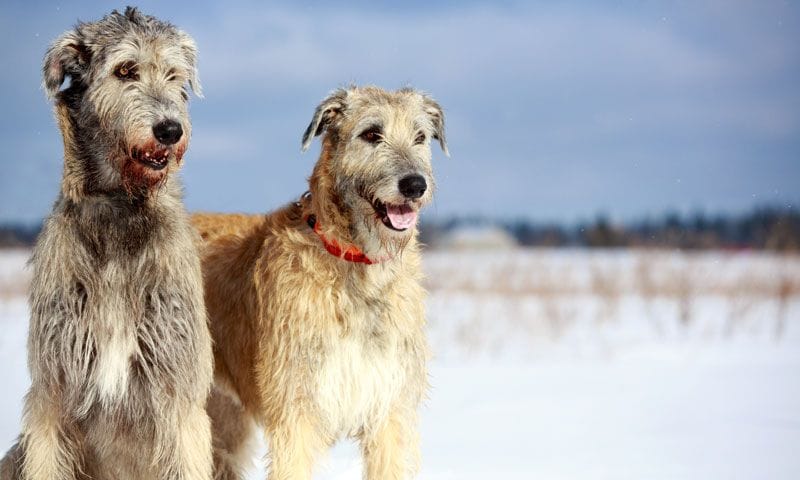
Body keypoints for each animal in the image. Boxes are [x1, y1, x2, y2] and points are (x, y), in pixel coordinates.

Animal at [0, 7, 212, 480]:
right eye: (125, 70)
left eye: (174, 75)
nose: (170, 130)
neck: (119, 209)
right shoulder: (53, 392)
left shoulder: (178, 387)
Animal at [191, 87, 446, 480]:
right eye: (371, 133)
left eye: (420, 137)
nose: (415, 185)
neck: (356, 264)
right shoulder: (296, 409)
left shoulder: (390, 409)